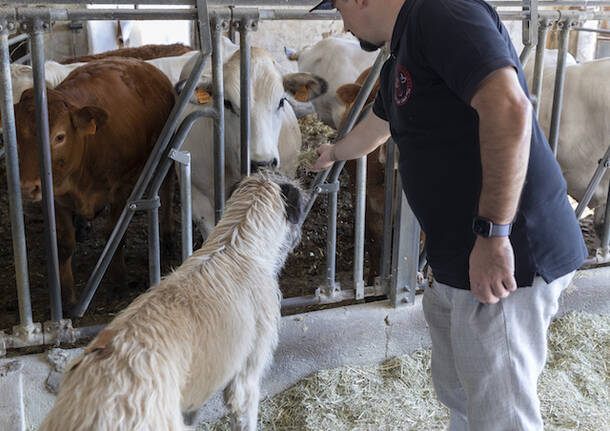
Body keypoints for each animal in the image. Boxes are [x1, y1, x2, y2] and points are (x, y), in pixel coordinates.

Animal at [14, 58, 176, 304]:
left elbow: (114, 233)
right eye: (15, 136)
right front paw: (67, 296)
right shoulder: (56, 194)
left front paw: (120, 280)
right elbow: (64, 244)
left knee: (167, 186)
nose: (27, 188)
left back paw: (167, 236)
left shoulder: (123, 189)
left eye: (59, 137)